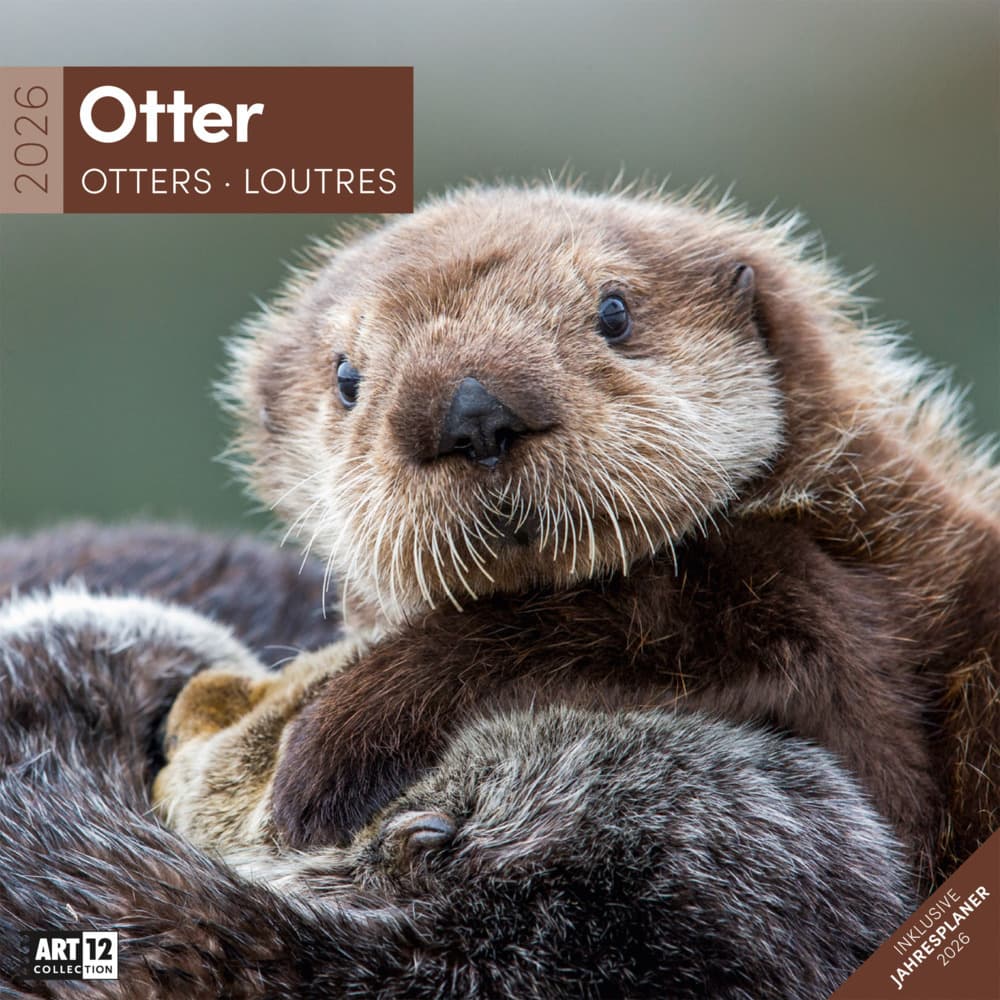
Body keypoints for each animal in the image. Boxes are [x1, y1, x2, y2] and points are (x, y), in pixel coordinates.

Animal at [218, 182, 999, 887]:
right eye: (347, 377)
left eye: (614, 311)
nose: (473, 413)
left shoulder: (837, 602)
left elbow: (613, 622)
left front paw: (329, 747)